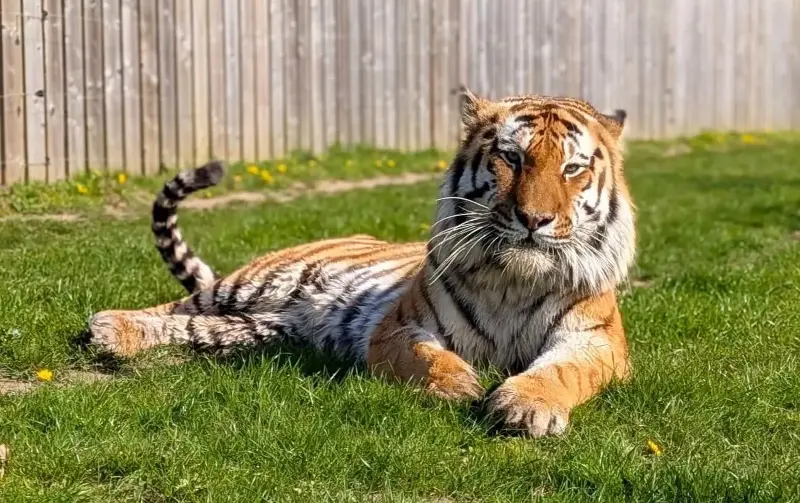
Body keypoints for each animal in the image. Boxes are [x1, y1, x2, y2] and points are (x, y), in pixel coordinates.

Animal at [88, 89, 635, 438]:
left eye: (572, 168)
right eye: (512, 158)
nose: (534, 219)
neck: (514, 280)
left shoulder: (596, 341)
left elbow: (562, 372)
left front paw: (527, 405)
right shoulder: (399, 327)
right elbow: (427, 358)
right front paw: (459, 385)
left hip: (258, 328)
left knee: (195, 327)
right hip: (256, 282)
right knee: (178, 306)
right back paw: (109, 327)